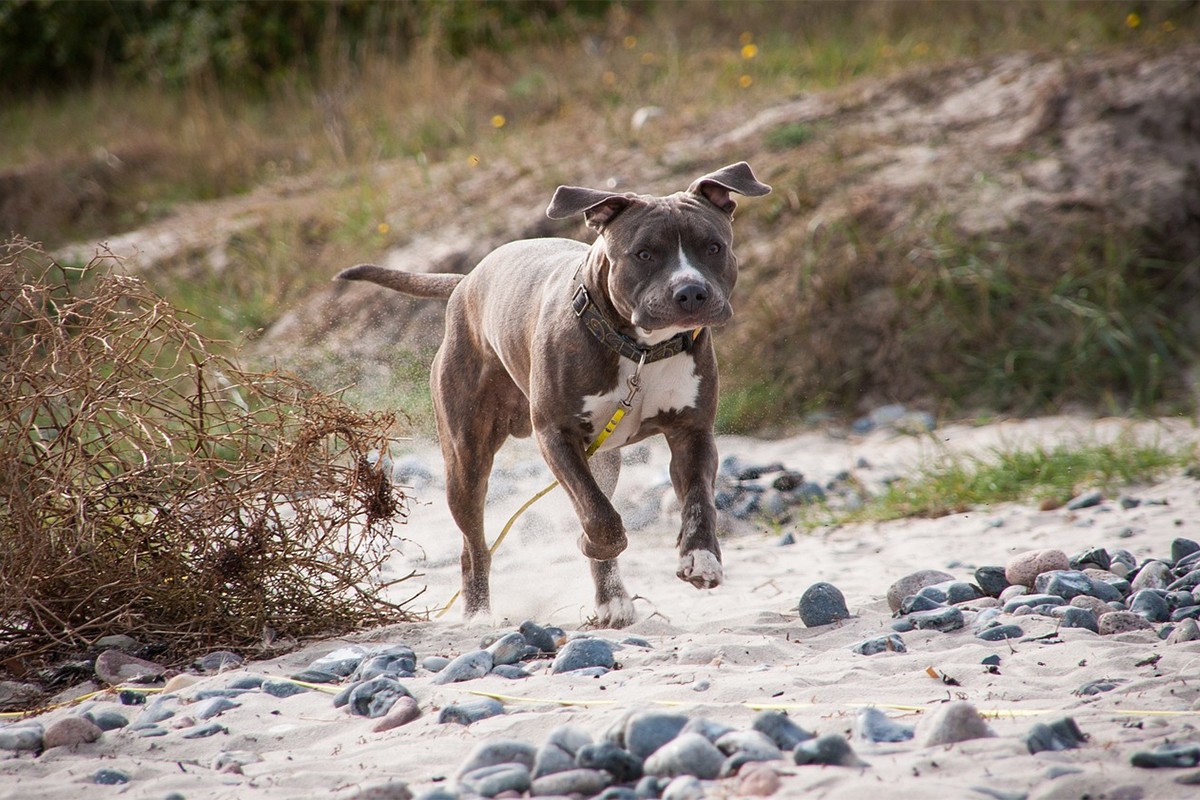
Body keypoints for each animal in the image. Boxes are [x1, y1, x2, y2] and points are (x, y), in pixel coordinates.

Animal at [338, 163, 768, 623]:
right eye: (644, 254)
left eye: (714, 247)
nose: (690, 291)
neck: (640, 351)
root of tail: (468, 280)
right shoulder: (556, 435)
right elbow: (599, 517)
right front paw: (593, 542)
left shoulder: (692, 433)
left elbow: (698, 502)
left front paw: (701, 559)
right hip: (465, 458)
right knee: (475, 545)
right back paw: (479, 616)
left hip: (603, 458)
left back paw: (611, 600)